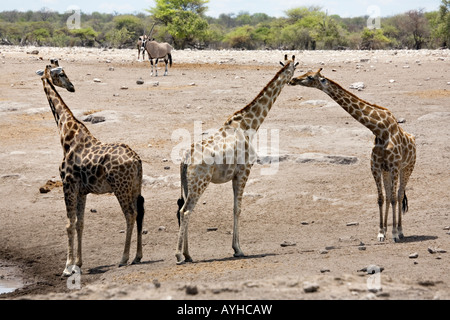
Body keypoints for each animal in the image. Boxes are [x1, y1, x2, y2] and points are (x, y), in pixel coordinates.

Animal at [37, 62, 146, 276]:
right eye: (61, 74)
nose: (71, 87)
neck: (66, 135)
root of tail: (137, 160)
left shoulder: (68, 185)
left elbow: (69, 224)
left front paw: (67, 267)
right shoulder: (82, 191)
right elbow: (80, 223)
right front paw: (78, 263)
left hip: (120, 188)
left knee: (130, 214)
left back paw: (123, 258)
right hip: (135, 187)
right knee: (139, 212)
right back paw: (137, 256)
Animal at [176, 55, 298, 264]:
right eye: (294, 69)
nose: (294, 80)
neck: (250, 125)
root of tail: (186, 159)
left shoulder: (235, 175)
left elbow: (234, 208)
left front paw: (236, 248)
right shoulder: (244, 171)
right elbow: (238, 209)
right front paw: (238, 249)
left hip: (187, 184)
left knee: (182, 210)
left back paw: (188, 254)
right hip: (200, 182)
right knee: (186, 211)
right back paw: (180, 254)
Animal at [290, 68, 416, 242]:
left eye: (310, 77)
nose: (293, 80)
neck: (381, 130)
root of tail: (413, 140)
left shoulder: (394, 166)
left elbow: (393, 198)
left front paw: (394, 234)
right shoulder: (376, 167)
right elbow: (381, 198)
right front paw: (381, 232)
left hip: (407, 168)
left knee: (398, 195)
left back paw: (400, 231)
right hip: (387, 171)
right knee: (389, 195)